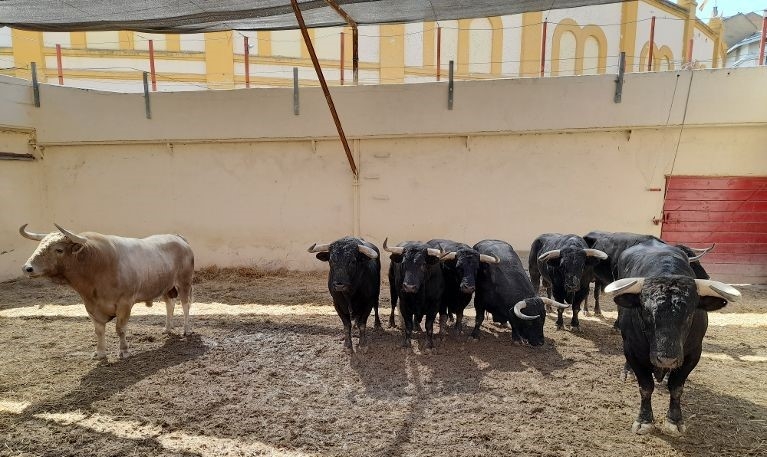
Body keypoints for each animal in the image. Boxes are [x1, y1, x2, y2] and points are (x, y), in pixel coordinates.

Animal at [21, 224, 195, 360]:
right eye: (39, 245)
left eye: (59, 250)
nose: (27, 268)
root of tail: (178, 238)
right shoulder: (91, 307)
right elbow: (98, 331)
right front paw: (100, 353)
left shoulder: (125, 303)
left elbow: (120, 329)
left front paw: (124, 351)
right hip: (167, 286)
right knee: (170, 304)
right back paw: (167, 328)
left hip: (184, 283)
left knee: (185, 305)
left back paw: (186, 330)